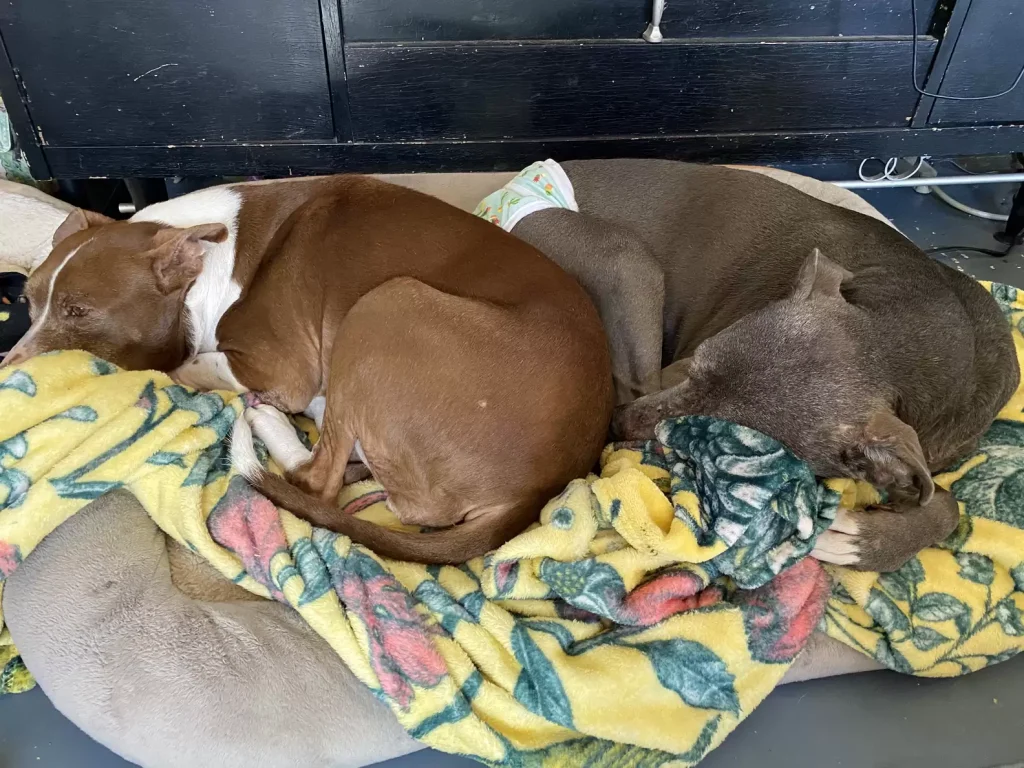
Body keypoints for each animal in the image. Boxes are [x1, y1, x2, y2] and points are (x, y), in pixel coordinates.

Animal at [507, 159, 1019, 573]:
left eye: (717, 435)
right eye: (693, 369)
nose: (618, 425)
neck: (908, 333)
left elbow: (950, 506)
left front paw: (862, 541)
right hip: (627, 262)